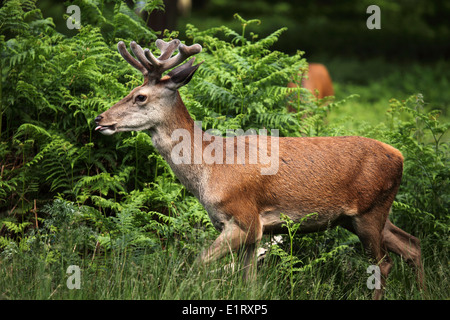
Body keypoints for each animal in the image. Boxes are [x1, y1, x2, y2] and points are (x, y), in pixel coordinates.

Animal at [96, 38, 426, 298]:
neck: (209, 168)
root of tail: (399, 155)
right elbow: (248, 281)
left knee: (384, 263)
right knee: (412, 244)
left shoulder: (244, 218)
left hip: (370, 211)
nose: (100, 119)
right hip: (361, 216)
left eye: (140, 96)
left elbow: (197, 264)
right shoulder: (252, 230)